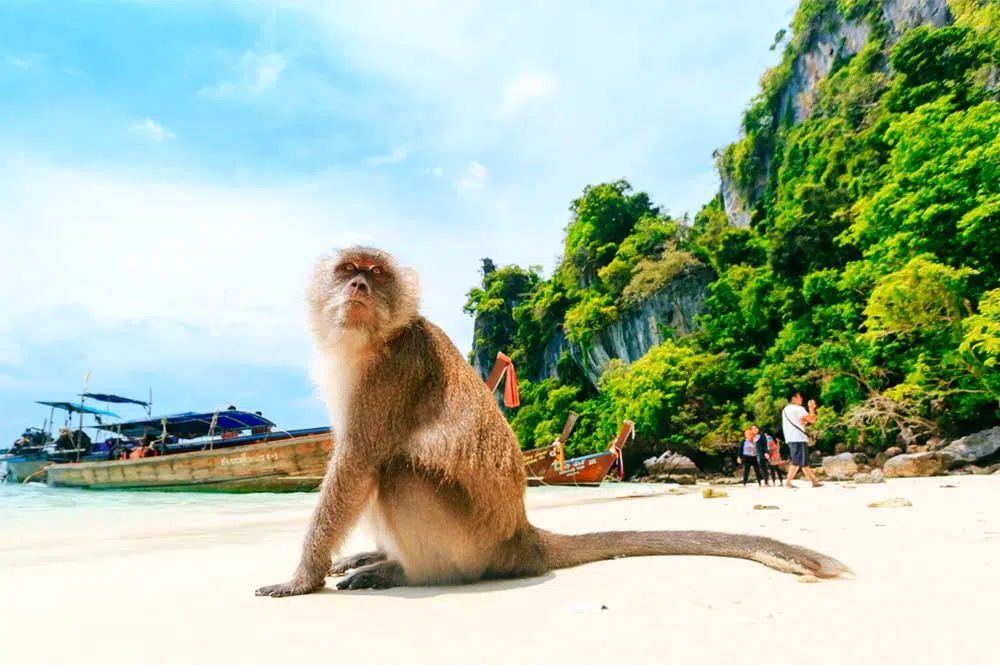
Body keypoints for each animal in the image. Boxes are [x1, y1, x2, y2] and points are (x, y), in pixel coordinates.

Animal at [254, 244, 848, 596]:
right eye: (347, 271)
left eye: (375, 275)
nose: (358, 288)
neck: (372, 339)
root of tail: (523, 536)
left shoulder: (390, 372)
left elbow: (356, 465)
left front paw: (301, 578)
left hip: (470, 542)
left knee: (395, 470)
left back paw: (405, 571)